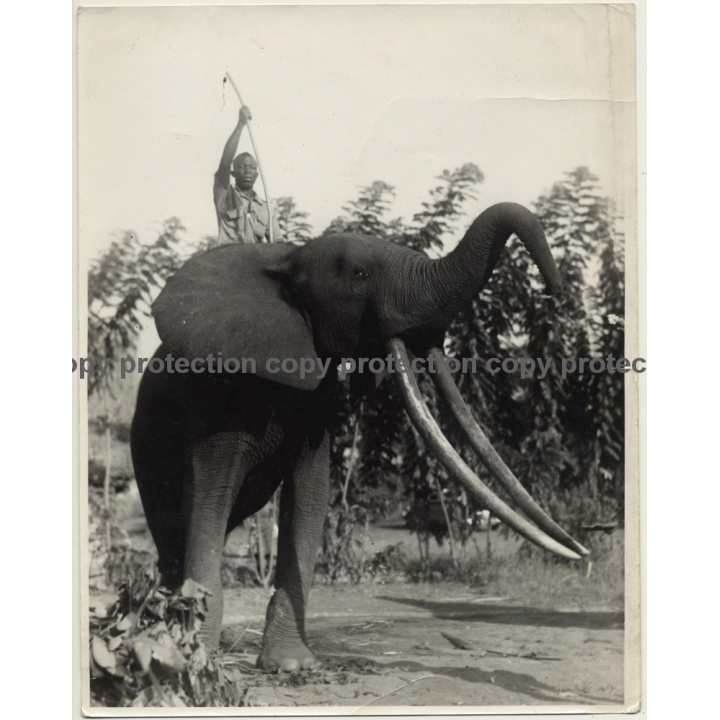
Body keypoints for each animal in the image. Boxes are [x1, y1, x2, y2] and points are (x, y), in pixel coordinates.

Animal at [130, 201, 588, 672]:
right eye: (360, 275)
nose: (554, 290)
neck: (289, 258)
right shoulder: (221, 399)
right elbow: (211, 496)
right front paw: (196, 661)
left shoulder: (315, 403)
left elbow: (310, 496)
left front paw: (291, 665)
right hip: (144, 437)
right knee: (175, 525)